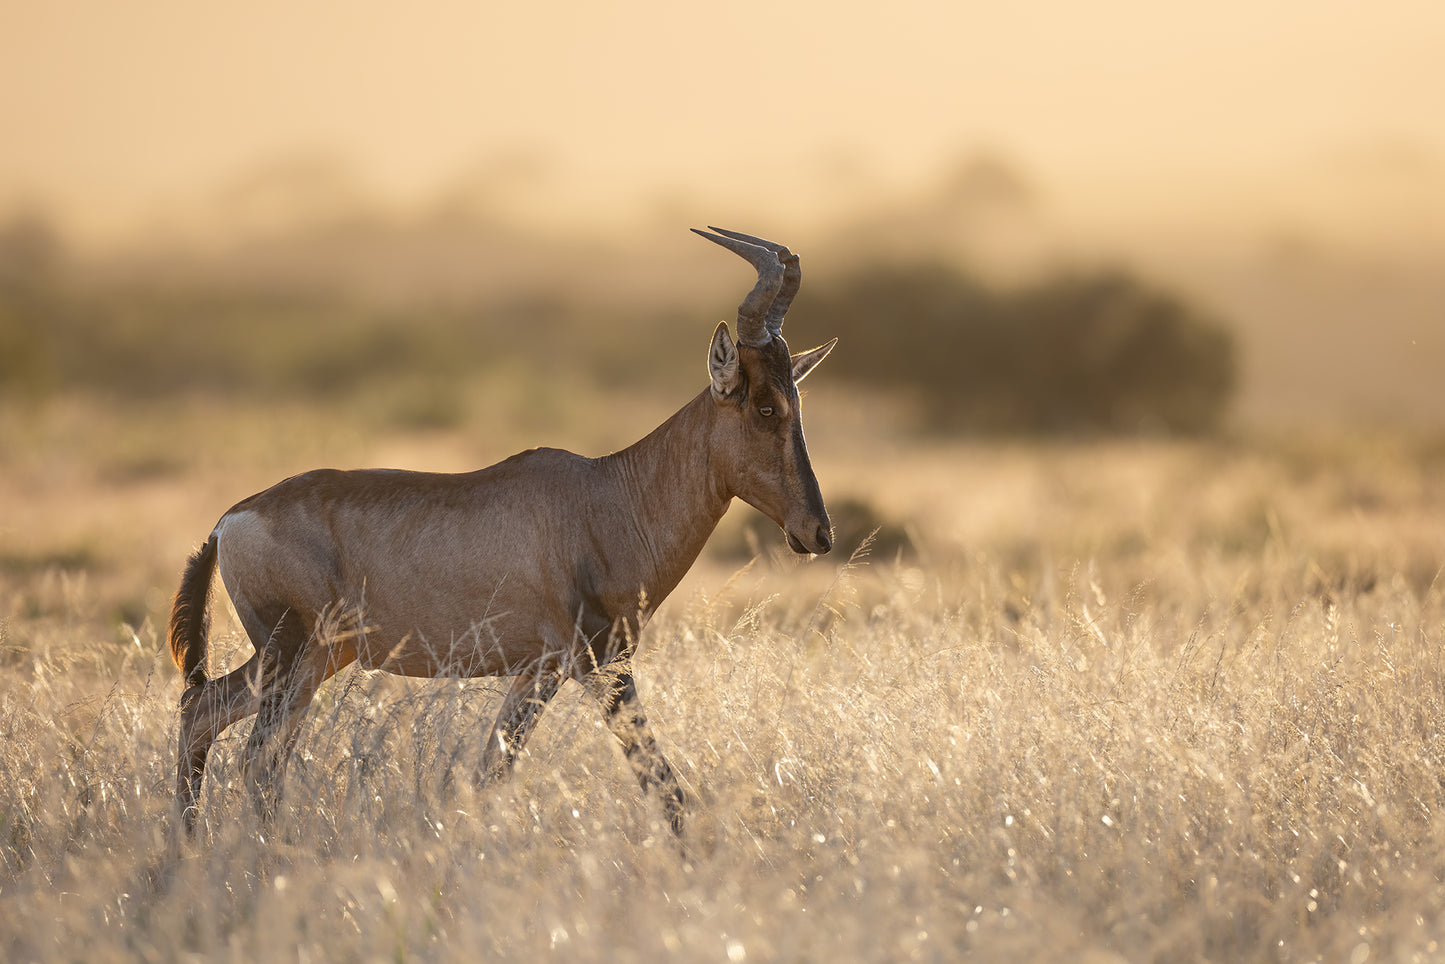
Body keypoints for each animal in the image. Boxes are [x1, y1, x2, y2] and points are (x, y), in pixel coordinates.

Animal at [167, 226, 838, 838]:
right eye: (765, 406)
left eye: (798, 401)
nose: (817, 532)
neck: (606, 496)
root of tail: (230, 521)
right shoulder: (601, 665)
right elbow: (664, 786)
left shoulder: (539, 671)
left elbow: (489, 773)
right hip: (290, 654)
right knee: (247, 750)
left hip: (315, 661)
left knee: (216, 724)